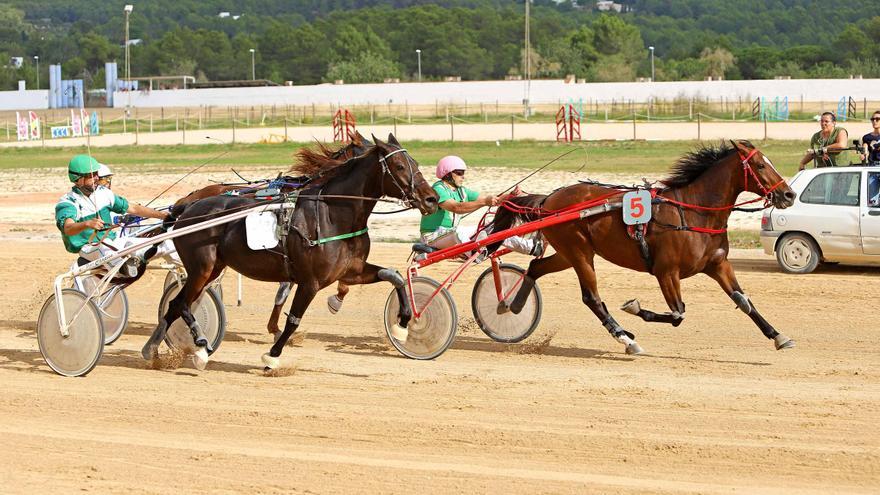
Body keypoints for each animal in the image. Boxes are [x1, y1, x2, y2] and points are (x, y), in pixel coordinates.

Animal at [144, 134, 440, 370]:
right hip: (202, 268)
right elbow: (293, 320)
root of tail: (186, 207)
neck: (332, 214)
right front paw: (272, 356)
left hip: (213, 267)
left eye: (415, 163)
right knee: (181, 303)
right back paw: (201, 347)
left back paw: (153, 349)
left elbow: (395, 276)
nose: (431, 199)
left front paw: (403, 325)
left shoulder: (350, 271)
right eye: (400, 166)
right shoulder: (310, 282)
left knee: (175, 305)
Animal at [492, 140, 800, 354]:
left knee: (536, 266)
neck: (694, 213)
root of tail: (549, 199)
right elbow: (678, 314)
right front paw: (634, 307)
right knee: (592, 298)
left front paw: (779, 336)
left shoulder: (718, 264)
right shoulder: (666, 271)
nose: (788, 194)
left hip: (571, 253)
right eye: (760, 165)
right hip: (578, 252)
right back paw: (625, 337)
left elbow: (743, 301)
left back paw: (512, 305)